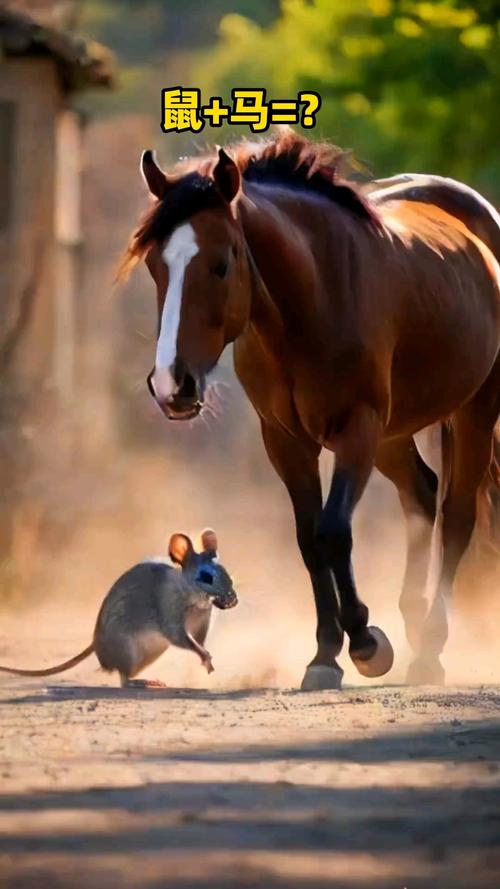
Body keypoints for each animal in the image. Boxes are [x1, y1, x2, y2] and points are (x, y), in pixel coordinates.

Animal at [119, 131, 500, 690]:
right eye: (155, 266)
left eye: (222, 263)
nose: (172, 385)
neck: (316, 300)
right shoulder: (285, 440)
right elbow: (308, 540)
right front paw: (325, 655)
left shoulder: (357, 428)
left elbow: (333, 530)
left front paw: (365, 642)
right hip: (394, 435)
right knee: (423, 495)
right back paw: (413, 618)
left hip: (473, 411)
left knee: (456, 517)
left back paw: (429, 646)